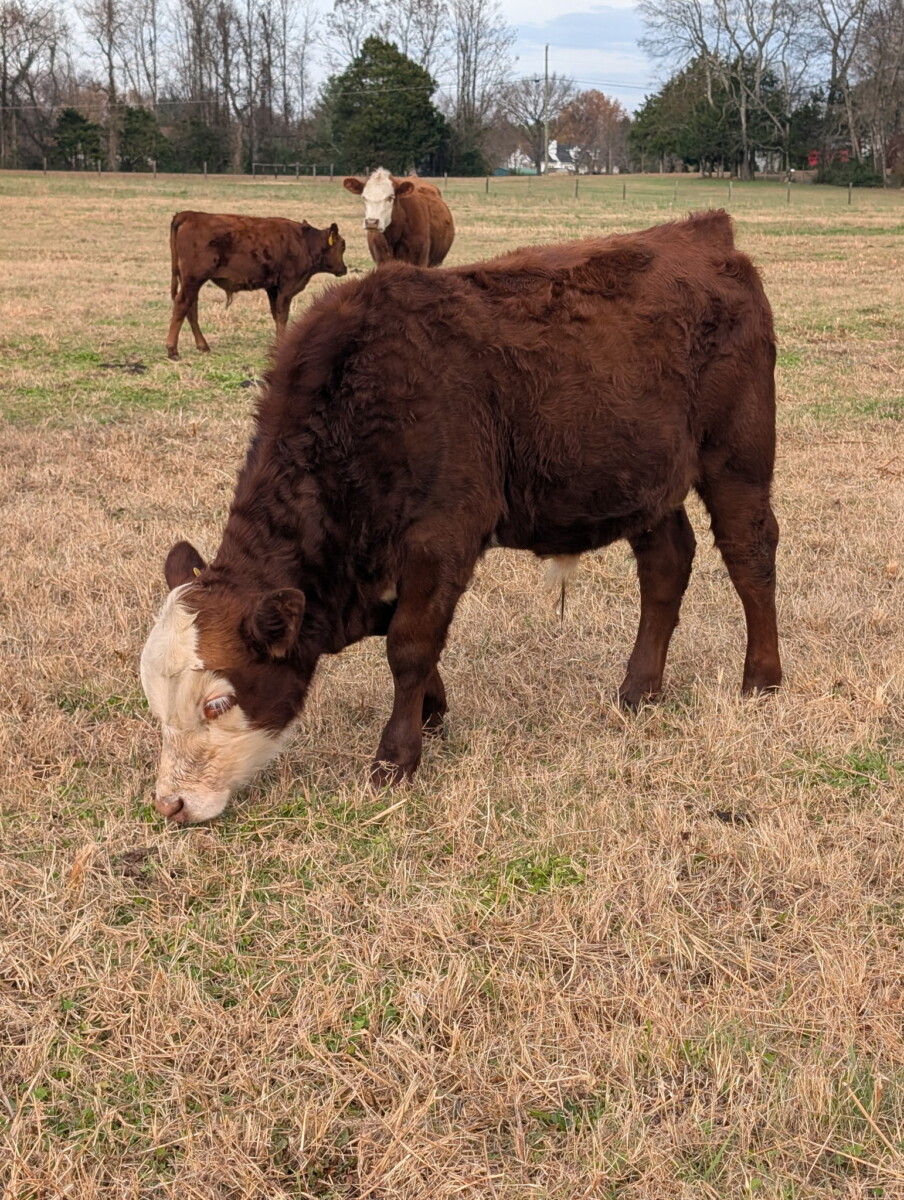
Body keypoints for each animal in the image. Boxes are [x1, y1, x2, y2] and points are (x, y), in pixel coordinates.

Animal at [166, 211, 348, 360]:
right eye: (342, 246)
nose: (344, 269)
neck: (304, 242)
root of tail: (189, 215)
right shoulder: (286, 288)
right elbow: (283, 316)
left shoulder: (273, 288)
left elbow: (276, 315)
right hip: (193, 279)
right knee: (182, 305)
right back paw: (172, 350)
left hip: (191, 282)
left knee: (191, 308)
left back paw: (202, 346)